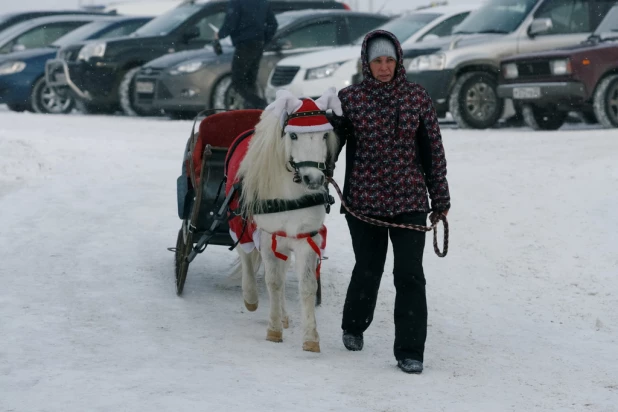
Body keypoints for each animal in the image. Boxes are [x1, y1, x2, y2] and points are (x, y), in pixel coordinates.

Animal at [232, 88, 340, 352]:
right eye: (293, 135)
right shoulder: (268, 237)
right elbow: (273, 282)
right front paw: (273, 330)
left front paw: (311, 337)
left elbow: (307, 286)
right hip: (242, 226)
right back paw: (251, 297)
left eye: (324, 135)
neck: (290, 196)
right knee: (246, 257)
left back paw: (282, 314)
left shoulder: (304, 239)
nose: (313, 178)